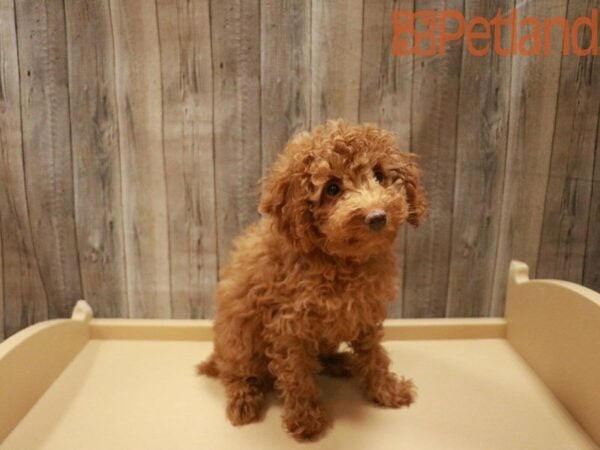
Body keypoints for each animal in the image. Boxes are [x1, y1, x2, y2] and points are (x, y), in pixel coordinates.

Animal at [199, 118, 428, 440]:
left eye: (380, 175)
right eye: (332, 188)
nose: (377, 216)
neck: (340, 261)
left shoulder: (365, 314)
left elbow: (374, 356)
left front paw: (386, 390)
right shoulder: (288, 327)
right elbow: (297, 375)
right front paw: (306, 420)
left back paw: (341, 362)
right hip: (238, 339)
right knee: (237, 374)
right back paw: (243, 402)